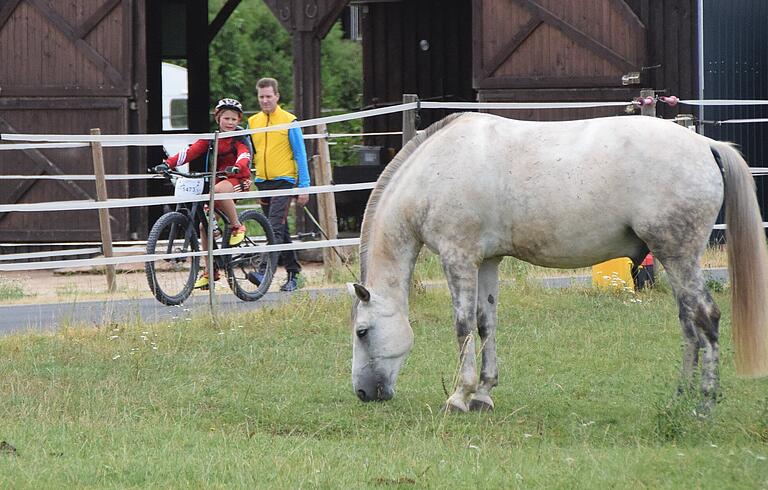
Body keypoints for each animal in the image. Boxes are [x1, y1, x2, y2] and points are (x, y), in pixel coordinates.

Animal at [348, 112, 768, 414]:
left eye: (362, 332)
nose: (363, 392)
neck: (435, 169)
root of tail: (706, 145)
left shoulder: (460, 258)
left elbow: (463, 327)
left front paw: (459, 397)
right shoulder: (488, 262)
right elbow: (486, 325)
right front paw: (483, 394)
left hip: (677, 256)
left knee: (705, 319)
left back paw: (703, 405)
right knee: (688, 323)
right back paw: (680, 396)